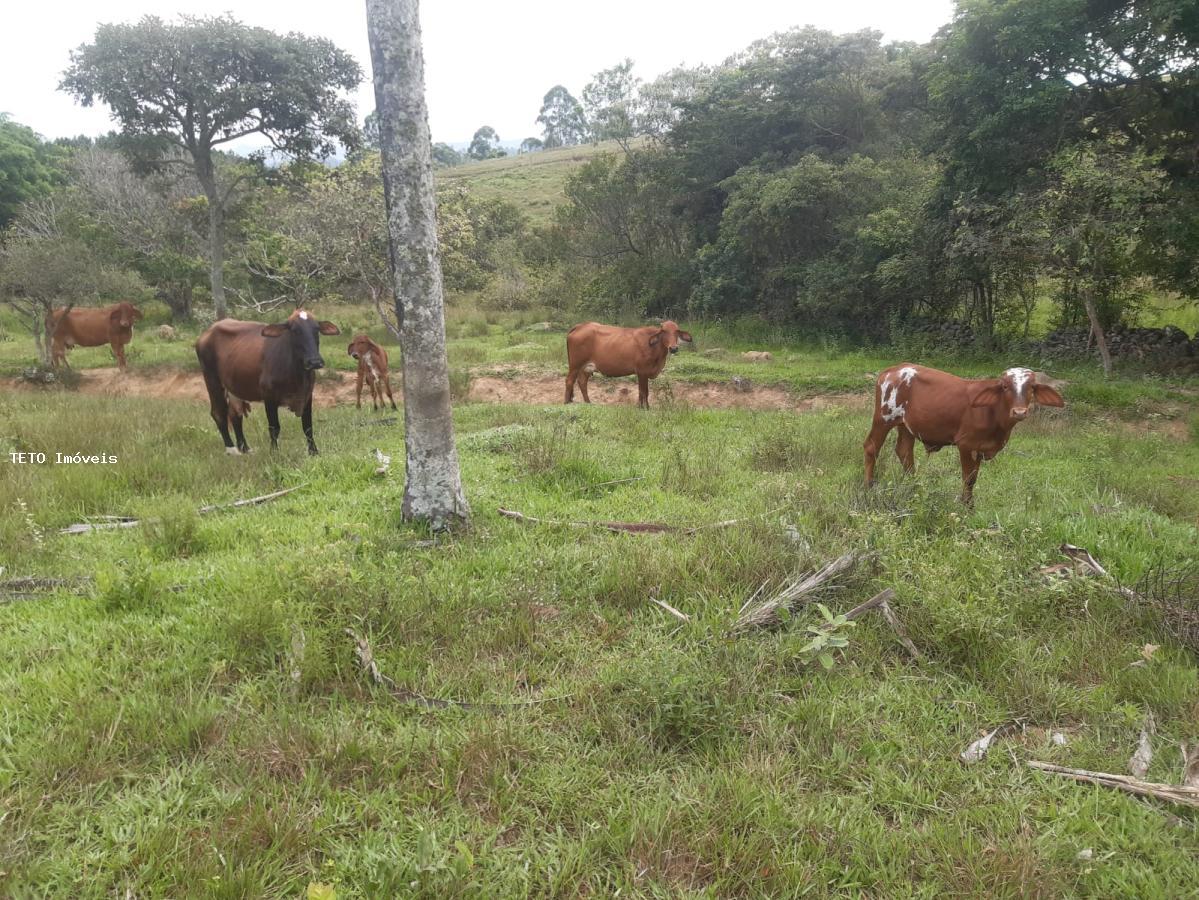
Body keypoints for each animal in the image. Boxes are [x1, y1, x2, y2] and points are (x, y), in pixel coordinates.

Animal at [194, 311, 340, 452]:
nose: (314, 361)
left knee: (235, 414)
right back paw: (232, 450)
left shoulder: (307, 395)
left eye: (316, 329)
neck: (297, 375)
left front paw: (313, 452)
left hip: (234, 387)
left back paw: (244, 448)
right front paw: (274, 452)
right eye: (294, 330)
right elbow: (274, 428)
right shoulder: (269, 397)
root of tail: (208, 331)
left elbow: (308, 427)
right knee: (218, 413)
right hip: (212, 380)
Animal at [568, 321, 700, 407]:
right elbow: (643, 392)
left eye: (677, 331)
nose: (673, 348)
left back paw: (587, 403)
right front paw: (644, 408)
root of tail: (580, 326)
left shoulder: (644, 373)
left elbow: (644, 392)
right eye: (663, 331)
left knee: (582, 382)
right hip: (575, 365)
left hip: (585, 368)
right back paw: (566, 402)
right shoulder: (642, 371)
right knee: (569, 381)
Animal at [863, 366, 1069, 508]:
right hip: (883, 418)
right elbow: (968, 479)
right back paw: (869, 487)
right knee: (871, 448)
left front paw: (970, 505)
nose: (1019, 412)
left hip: (905, 426)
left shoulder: (980, 448)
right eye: (1004, 386)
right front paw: (966, 507)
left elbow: (973, 479)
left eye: (1032, 387)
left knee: (904, 451)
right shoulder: (966, 445)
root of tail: (891, 370)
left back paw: (914, 487)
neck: (993, 413)